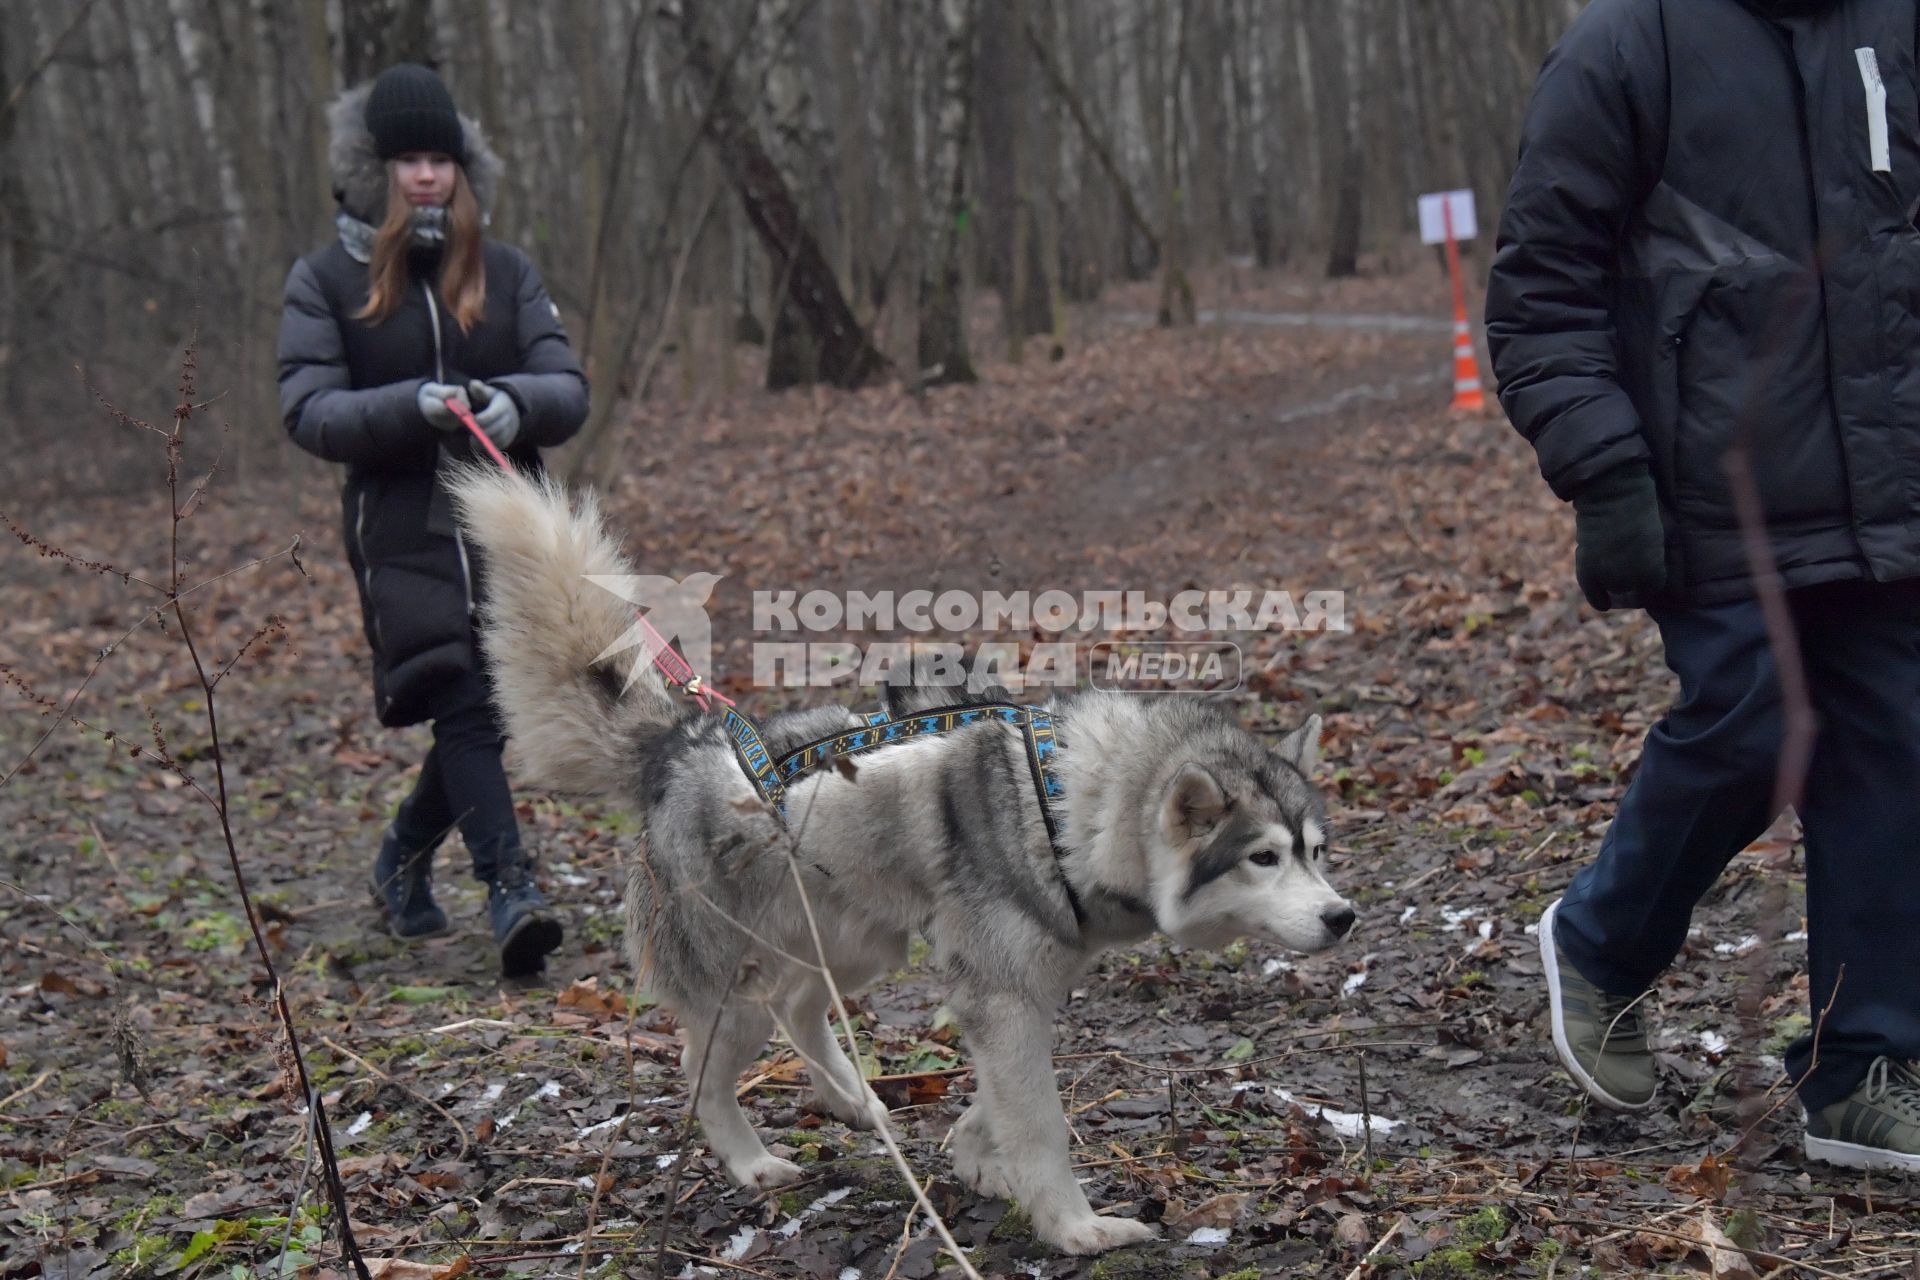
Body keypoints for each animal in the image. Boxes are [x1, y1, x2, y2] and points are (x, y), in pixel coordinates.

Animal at [453, 468, 1351, 1251]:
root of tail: (681, 740)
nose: (1343, 916)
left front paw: (974, 1158)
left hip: (860, 945)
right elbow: (1041, 1124)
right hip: (739, 995)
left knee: (800, 1009)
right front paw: (1075, 1229)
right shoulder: (1004, 996)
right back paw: (753, 1163)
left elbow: (997, 1104)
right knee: (702, 1072)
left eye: (1316, 852)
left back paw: (856, 1103)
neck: (1064, 800)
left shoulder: (1017, 996)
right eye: (1263, 858)